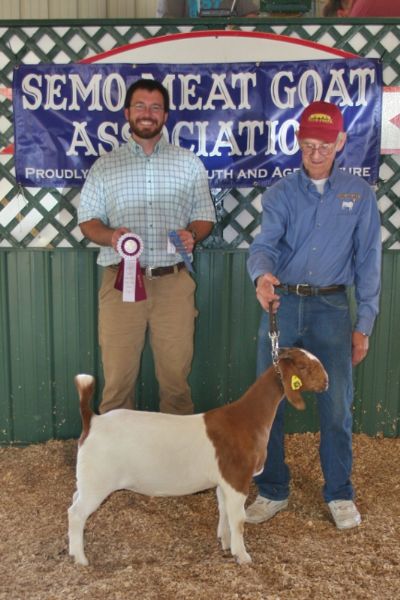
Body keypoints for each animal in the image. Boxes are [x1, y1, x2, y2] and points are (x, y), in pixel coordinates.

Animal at [68, 346, 328, 568]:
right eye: (303, 366)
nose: (326, 381)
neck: (246, 419)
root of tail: (93, 420)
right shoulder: (237, 479)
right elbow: (238, 520)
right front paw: (242, 556)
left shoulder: (224, 481)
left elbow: (224, 511)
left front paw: (225, 544)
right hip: (98, 480)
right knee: (77, 513)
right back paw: (81, 559)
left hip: (87, 479)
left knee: (73, 501)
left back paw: (72, 551)